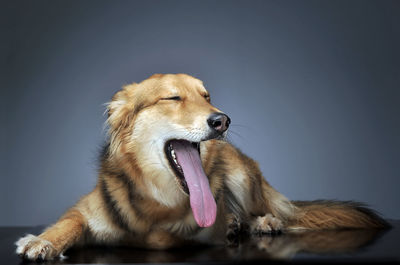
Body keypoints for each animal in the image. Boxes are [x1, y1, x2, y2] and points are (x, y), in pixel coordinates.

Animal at [14, 73, 388, 258]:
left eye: (206, 96)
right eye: (173, 97)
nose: (222, 120)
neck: (158, 199)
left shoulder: (185, 231)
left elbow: (161, 238)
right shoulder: (85, 210)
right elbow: (69, 223)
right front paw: (43, 241)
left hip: (241, 174)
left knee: (268, 209)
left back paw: (259, 222)